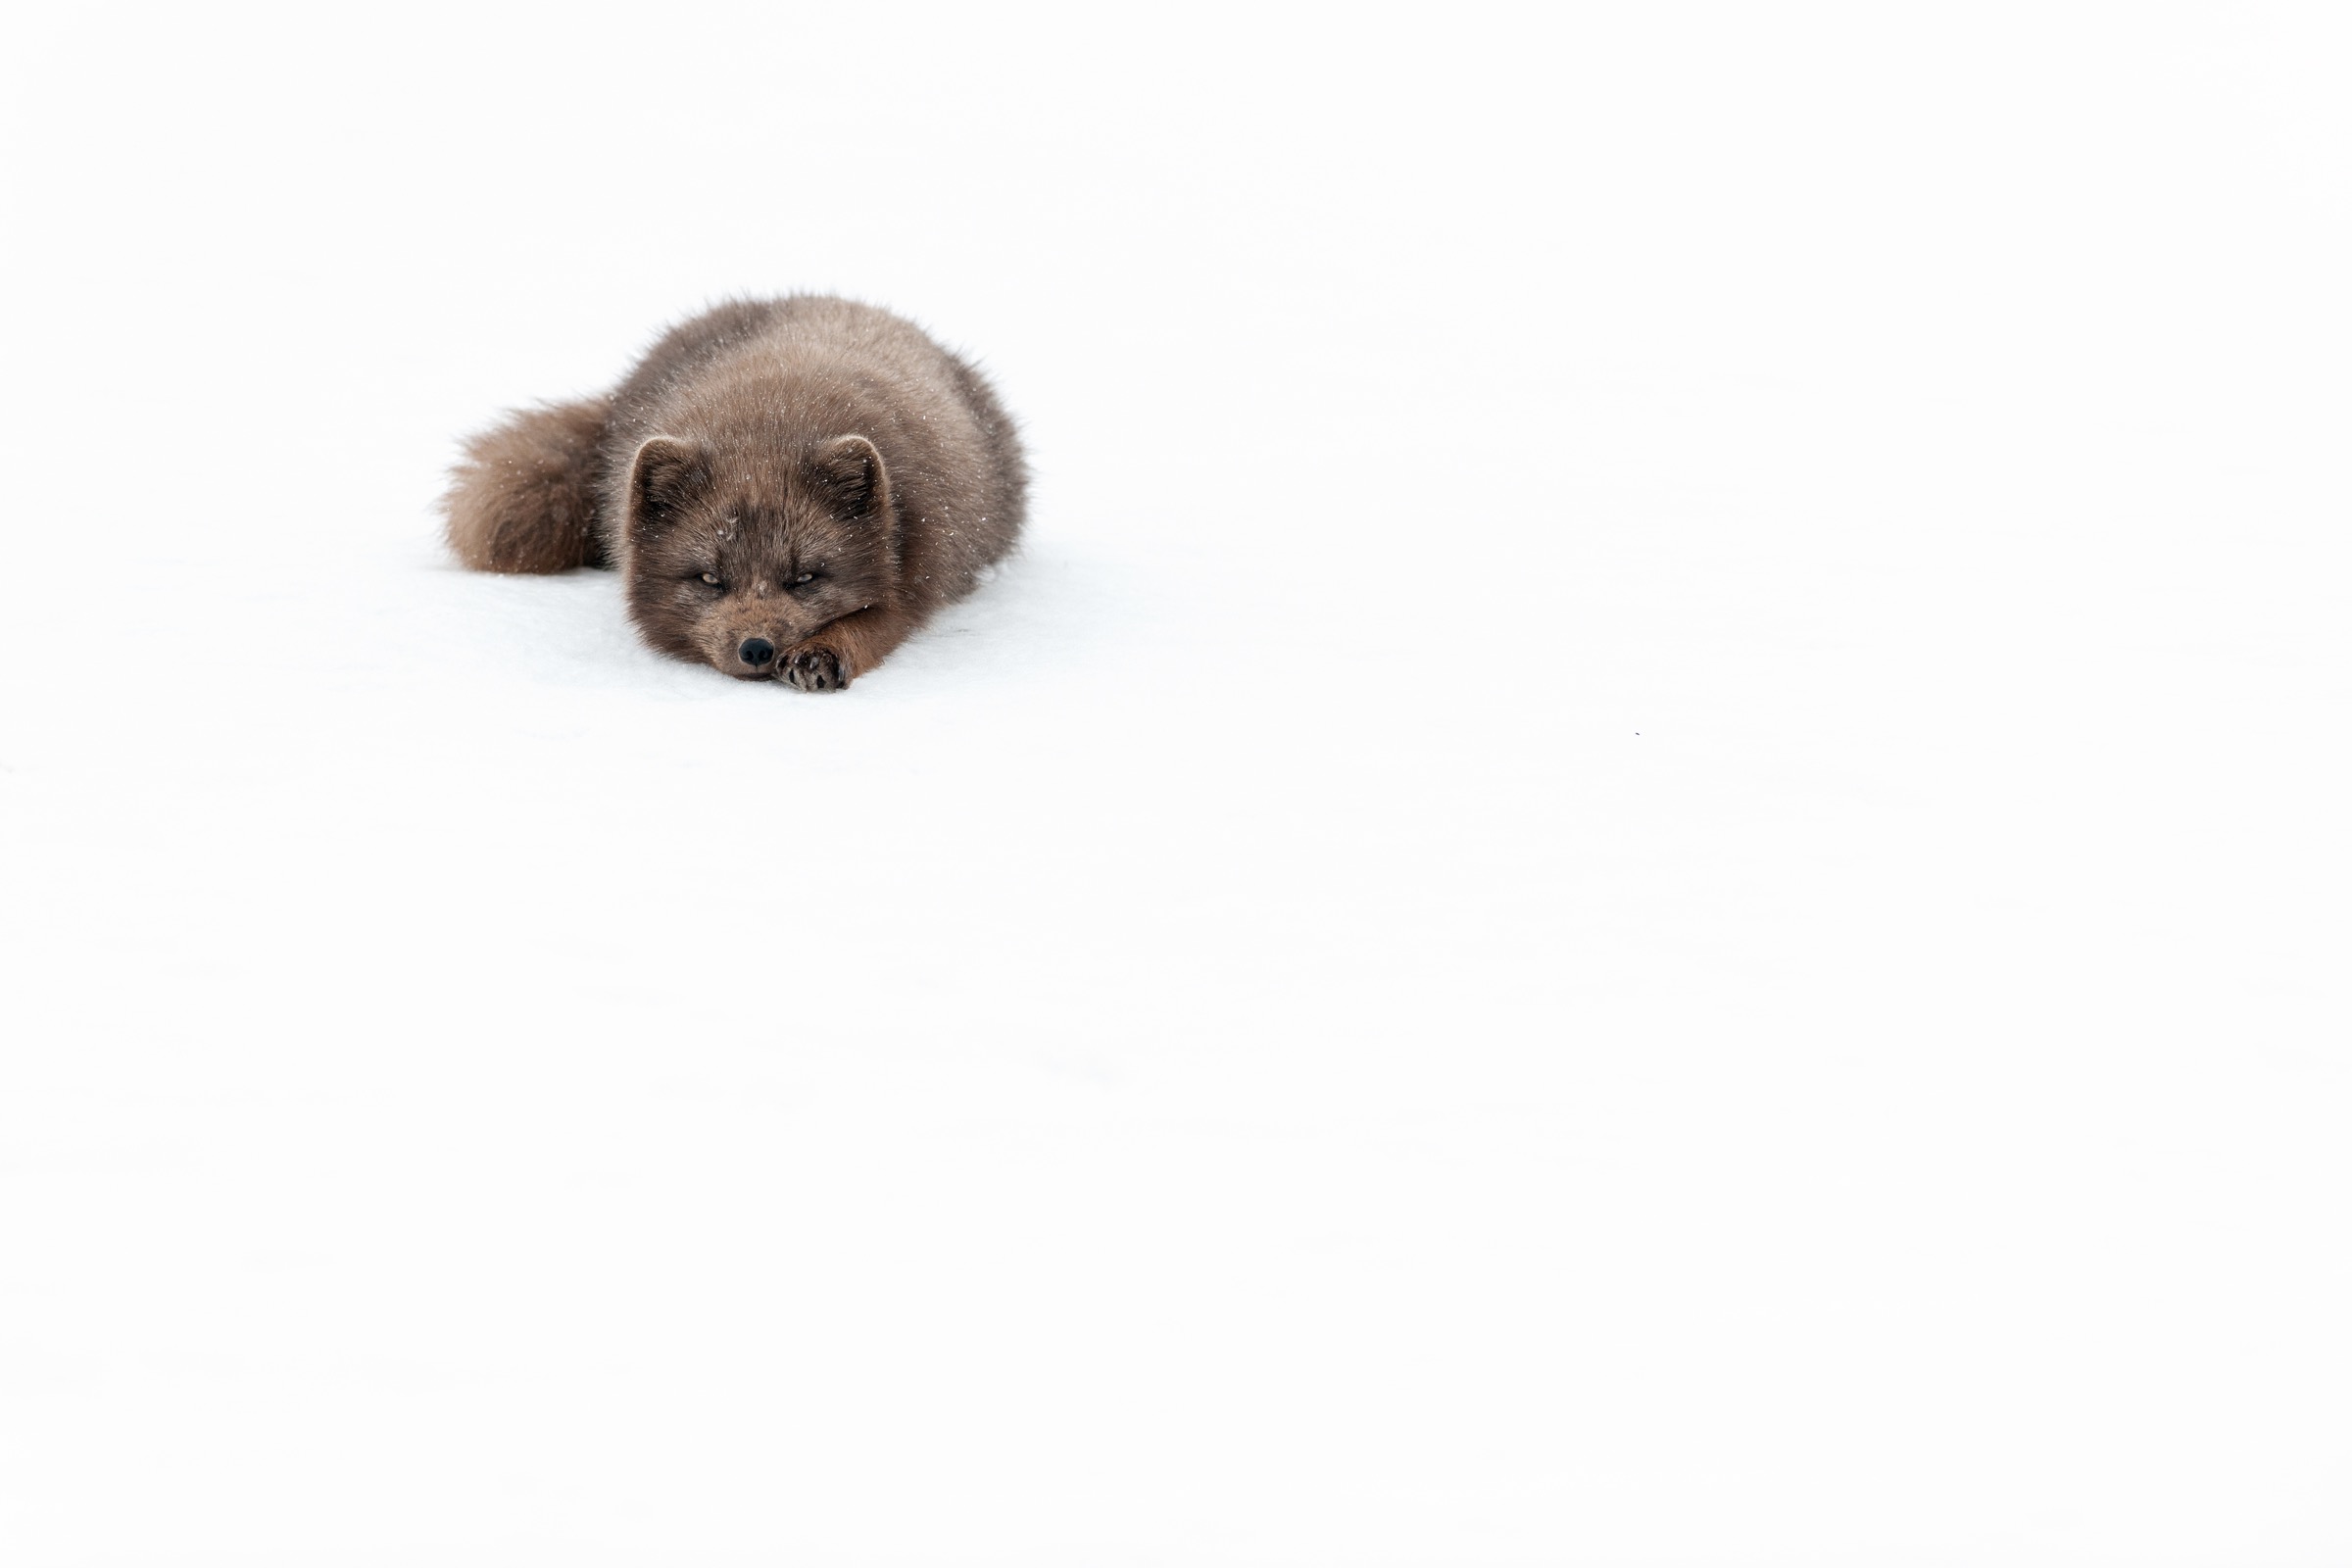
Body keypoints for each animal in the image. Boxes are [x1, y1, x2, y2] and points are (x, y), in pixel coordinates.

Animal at [442, 296, 1026, 691]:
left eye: (806, 577)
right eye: (708, 579)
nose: (757, 649)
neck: (770, 417)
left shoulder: (919, 562)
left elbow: (883, 619)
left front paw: (822, 653)